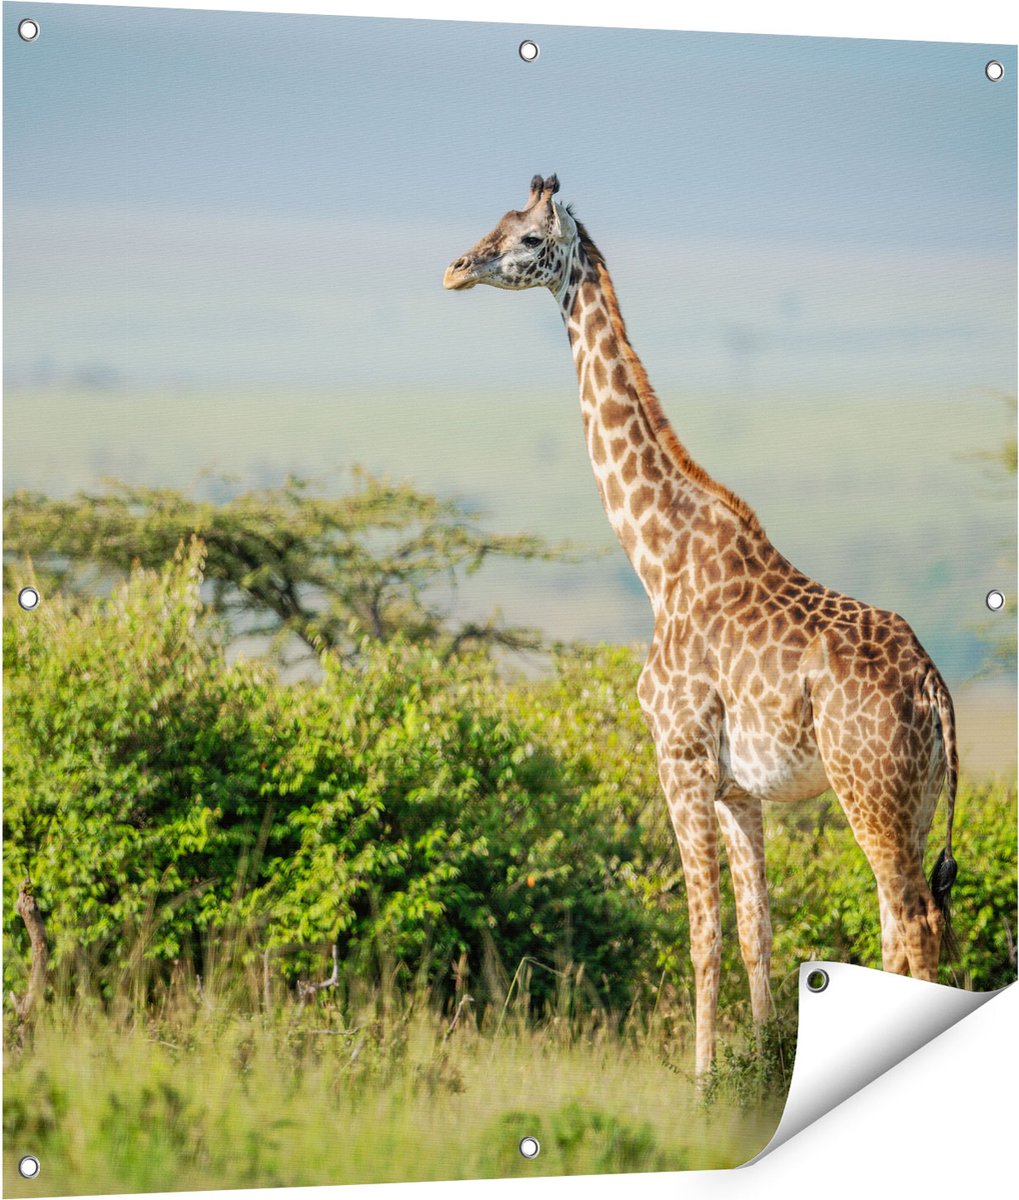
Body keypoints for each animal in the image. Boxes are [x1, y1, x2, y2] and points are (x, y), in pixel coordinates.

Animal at [443, 174, 960, 1077]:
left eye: (527, 239)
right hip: (915, 800)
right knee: (902, 922)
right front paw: (762, 1063)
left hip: (868, 790)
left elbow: (700, 933)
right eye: (496, 224)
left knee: (912, 922)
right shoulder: (736, 790)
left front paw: (701, 1078)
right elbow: (756, 932)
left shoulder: (677, 759)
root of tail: (933, 686)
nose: (455, 269)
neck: (657, 559)